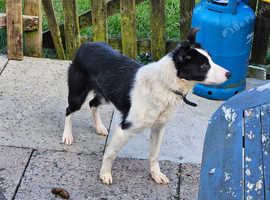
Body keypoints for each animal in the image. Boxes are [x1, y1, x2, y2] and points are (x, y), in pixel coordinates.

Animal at [62, 28, 231, 184]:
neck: (165, 84)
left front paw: (156, 174)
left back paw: (99, 127)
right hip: (77, 95)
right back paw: (67, 135)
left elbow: (154, 155)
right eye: (204, 66)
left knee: (93, 103)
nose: (229, 74)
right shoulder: (125, 128)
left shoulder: (158, 128)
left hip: (105, 95)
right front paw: (105, 174)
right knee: (69, 110)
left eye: (211, 59)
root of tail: (85, 44)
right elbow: (110, 153)